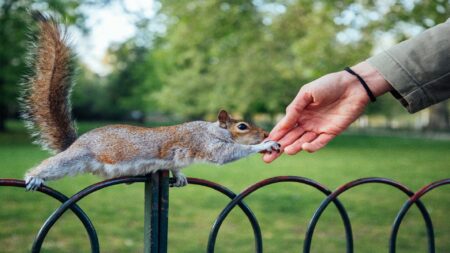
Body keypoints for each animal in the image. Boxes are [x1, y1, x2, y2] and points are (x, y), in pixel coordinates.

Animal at [21, 11, 282, 190]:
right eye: (242, 126)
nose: (265, 133)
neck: (212, 130)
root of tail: (75, 143)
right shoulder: (205, 144)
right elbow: (228, 154)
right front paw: (263, 145)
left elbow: (174, 165)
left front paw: (179, 176)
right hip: (77, 157)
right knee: (53, 165)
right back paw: (34, 177)